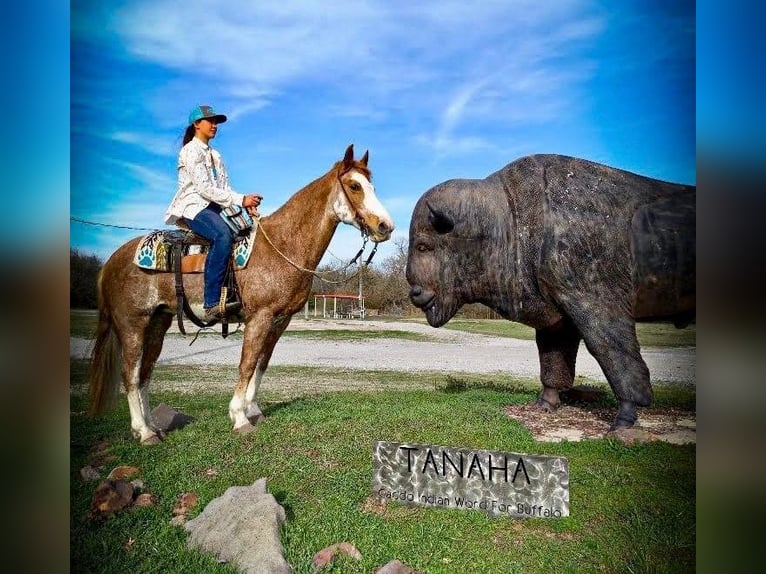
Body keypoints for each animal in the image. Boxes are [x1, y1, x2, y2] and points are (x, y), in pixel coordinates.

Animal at [90, 144, 396, 446]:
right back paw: (143, 432)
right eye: (354, 186)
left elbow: (262, 363)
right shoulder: (259, 317)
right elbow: (247, 364)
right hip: (133, 324)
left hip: (158, 322)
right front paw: (239, 418)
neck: (282, 246)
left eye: (372, 186)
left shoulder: (279, 320)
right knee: (130, 374)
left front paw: (254, 410)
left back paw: (153, 426)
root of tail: (111, 261)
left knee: (145, 373)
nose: (385, 226)